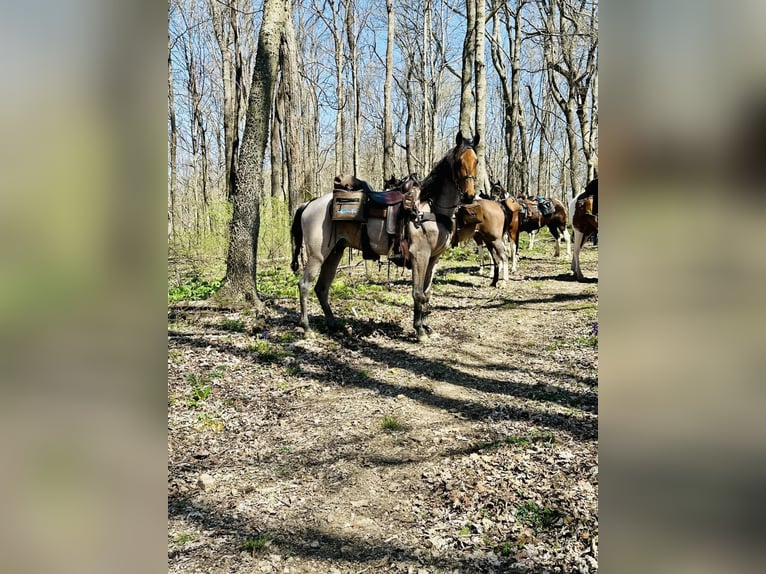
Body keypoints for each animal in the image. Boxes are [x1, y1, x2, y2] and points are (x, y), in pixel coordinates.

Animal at [290, 133, 480, 344]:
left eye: (476, 161)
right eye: (459, 162)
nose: (470, 196)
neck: (429, 208)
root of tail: (310, 203)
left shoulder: (433, 259)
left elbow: (427, 294)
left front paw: (427, 327)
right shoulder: (419, 256)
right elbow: (418, 293)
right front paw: (419, 331)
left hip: (335, 252)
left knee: (322, 288)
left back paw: (334, 324)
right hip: (317, 255)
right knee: (305, 285)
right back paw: (307, 328)